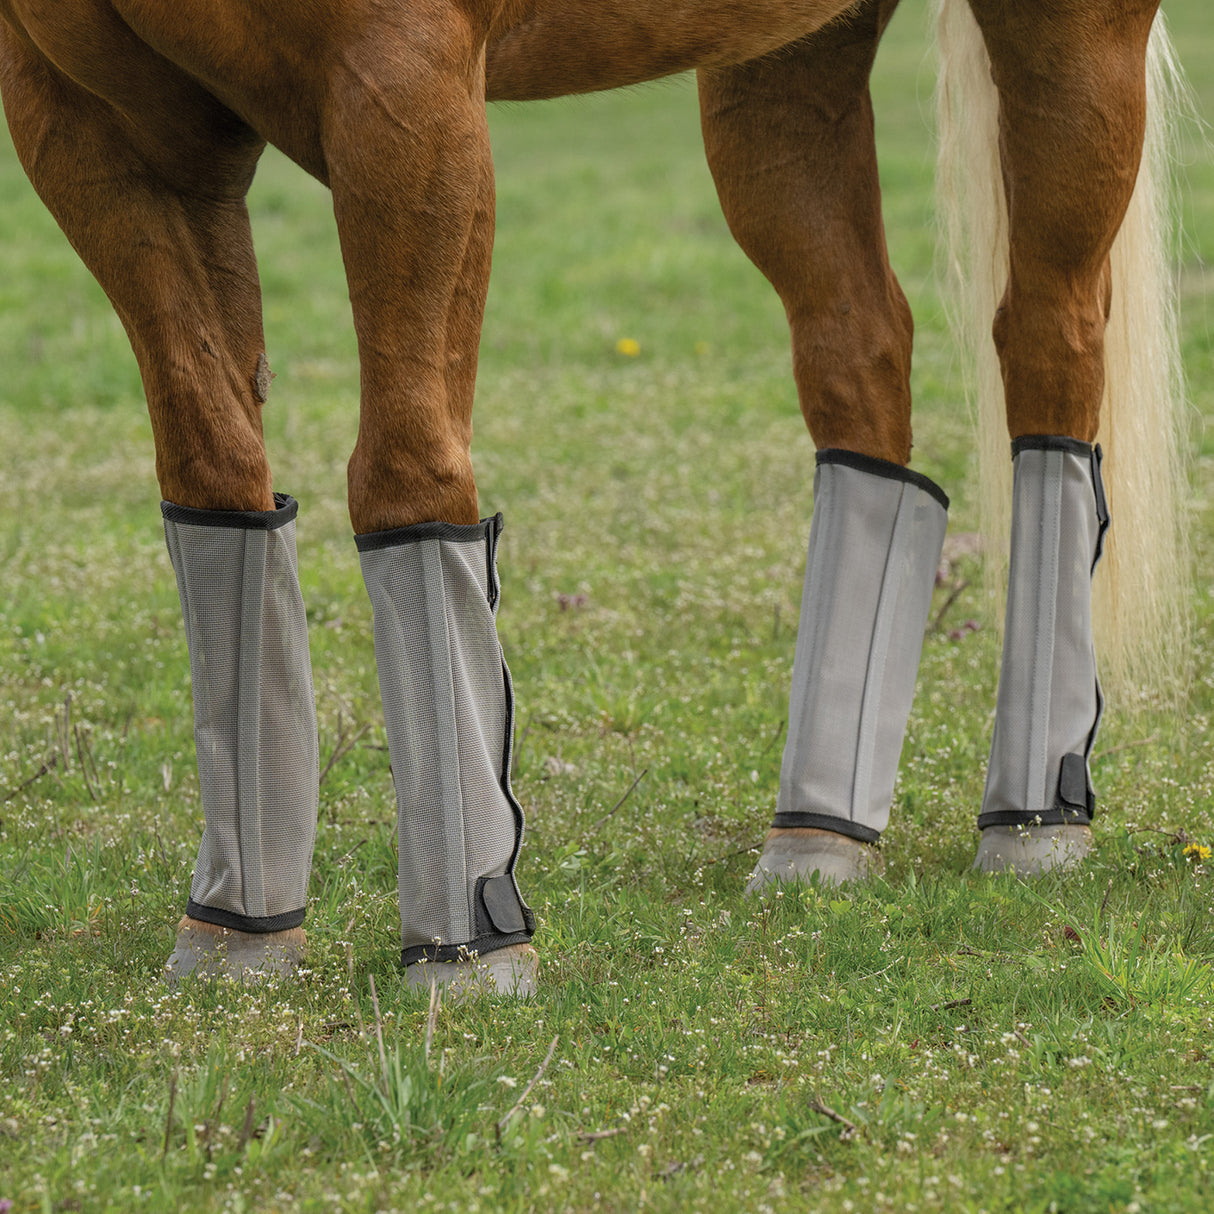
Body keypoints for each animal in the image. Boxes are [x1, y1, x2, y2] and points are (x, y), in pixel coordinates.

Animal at [0, 0, 1189, 996]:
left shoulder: (404, 91)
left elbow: (405, 469)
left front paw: (466, 951)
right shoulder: (97, 130)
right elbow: (214, 473)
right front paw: (238, 933)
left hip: (1067, 38)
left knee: (1050, 344)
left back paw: (1032, 819)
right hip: (784, 63)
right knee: (863, 361)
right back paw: (818, 835)